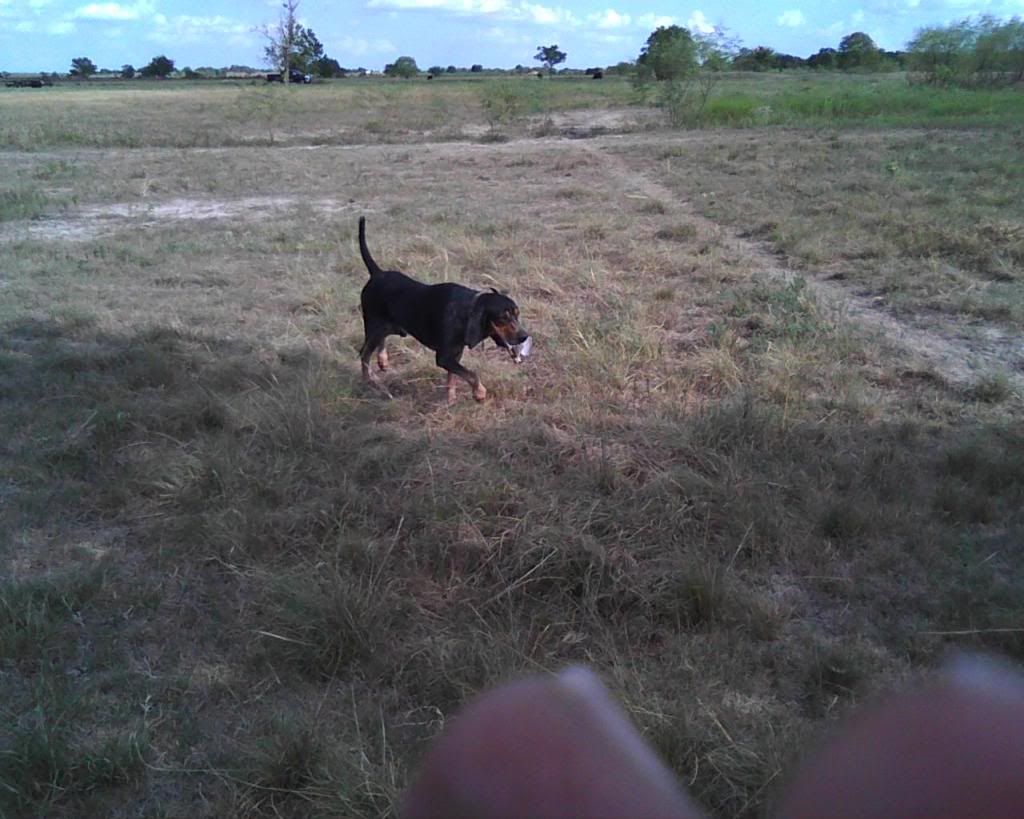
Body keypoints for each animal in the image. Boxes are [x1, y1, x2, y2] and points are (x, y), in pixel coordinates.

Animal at [357, 216, 529, 404]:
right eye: (503, 317)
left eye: (517, 315)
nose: (524, 336)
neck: (468, 310)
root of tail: (377, 273)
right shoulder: (444, 357)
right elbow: (472, 374)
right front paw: (479, 393)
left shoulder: (455, 354)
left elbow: (453, 376)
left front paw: (451, 399)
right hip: (374, 325)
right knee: (364, 354)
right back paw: (368, 381)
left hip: (389, 326)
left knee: (379, 342)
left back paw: (382, 361)